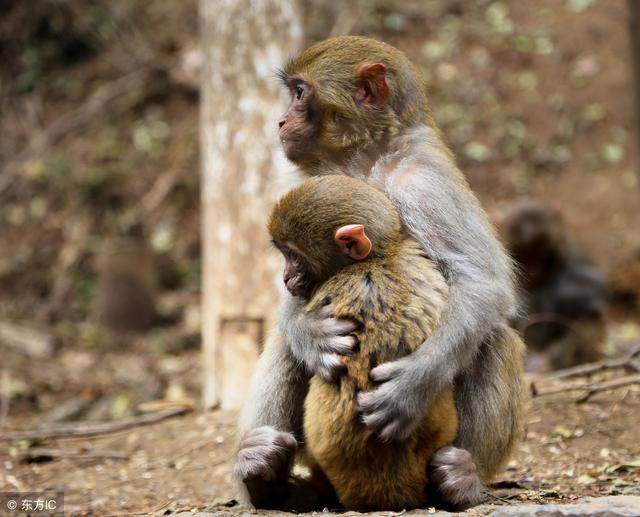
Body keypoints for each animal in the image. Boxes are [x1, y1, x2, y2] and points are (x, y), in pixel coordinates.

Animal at [235, 37, 524, 508]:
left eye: (300, 93)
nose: (280, 120)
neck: (366, 158)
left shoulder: (423, 182)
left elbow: (483, 282)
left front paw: (412, 388)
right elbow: (296, 307)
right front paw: (308, 331)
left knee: (495, 336)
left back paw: (464, 478)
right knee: (285, 347)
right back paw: (263, 477)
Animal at [498, 200, 608, 372]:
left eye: (541, 256)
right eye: (527, 258)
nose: (534, 271)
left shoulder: (573, 253)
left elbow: (593, 284)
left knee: (589, 315)